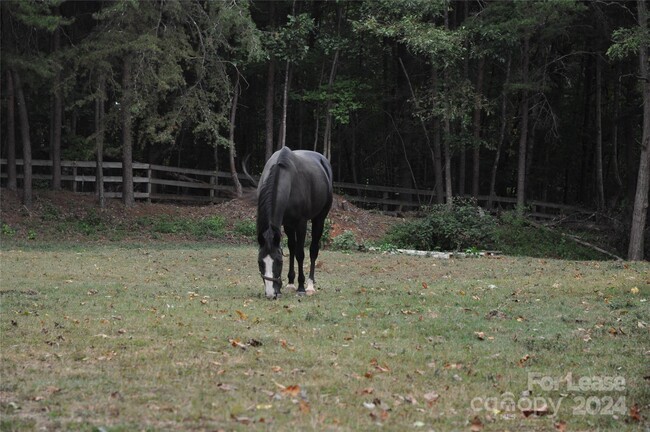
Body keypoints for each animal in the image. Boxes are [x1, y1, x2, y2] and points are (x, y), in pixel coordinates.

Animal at [254, 147, 332, 298]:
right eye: (260, 262)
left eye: (279, 261)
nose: (271, 294)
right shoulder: (286, 224)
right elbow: (291, 250)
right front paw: (288, 285)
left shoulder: (301, 223)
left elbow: (300, 254)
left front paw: (301, 288)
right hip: (290, 225)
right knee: (292, 247)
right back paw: (291, 283)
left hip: (319, 219)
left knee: (313, 250)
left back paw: (310, 285)